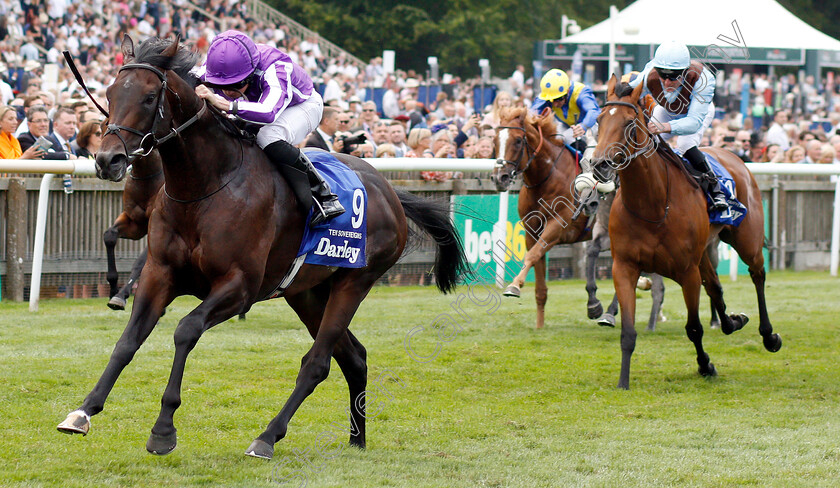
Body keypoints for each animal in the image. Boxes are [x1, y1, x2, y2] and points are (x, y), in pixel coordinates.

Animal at [57, 36, 472, 460]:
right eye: (110, 93)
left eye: (148, 96)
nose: (107, 159)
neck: (204, 186)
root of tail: (389, 190)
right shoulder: (160, 274)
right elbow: (127, 342)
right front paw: (83, 412)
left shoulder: (239, 286)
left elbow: (186, 330)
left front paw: (163, 429)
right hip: (306, 292)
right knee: (354, 357)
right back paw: (357, 439)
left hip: (355, 282)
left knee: (318, 362)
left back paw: (268, 436)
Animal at [592, 76, 780, 388]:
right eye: (598, 120)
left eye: (629, 123)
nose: (599, 164)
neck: (653, 204)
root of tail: (733, 157)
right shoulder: (624, 267)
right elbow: (627, 332)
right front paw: (623, 382)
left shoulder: (686, 271)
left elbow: (694, 327)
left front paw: (706, 366)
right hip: (704, 250)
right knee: (716, 286)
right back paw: (732, 321)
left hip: (746, 240)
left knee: (758, 275)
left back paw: (769, 335)